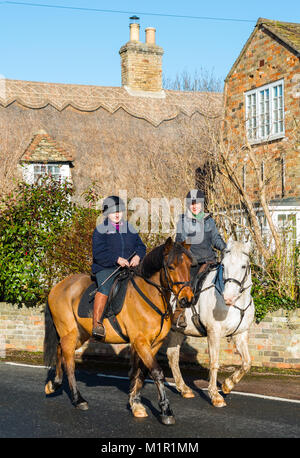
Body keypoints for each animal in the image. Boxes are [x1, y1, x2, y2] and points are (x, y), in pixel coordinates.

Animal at [43, 238, 193, 424]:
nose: (187, 299)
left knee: (60, 349)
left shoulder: (154, 344)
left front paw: (136, 404)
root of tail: (58, 286)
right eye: (171, 267)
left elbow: (141, 373)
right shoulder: (140, 341)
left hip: (79, 334)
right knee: (69, 362)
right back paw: (79, 399)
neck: (151, 295)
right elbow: (156, 372)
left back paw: (54, 384)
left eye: (190, 265)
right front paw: (166, 411)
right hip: (69, 333)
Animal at [165, 240, 254, 408]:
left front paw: (227, 385)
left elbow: (247, 363)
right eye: (224, 265)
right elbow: (214, 362)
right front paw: (215, 395)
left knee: (173, 356)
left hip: (176, 331)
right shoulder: (214, 332)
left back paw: (184, 389)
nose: (228, 297)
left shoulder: (240, 334)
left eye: (243, 266)